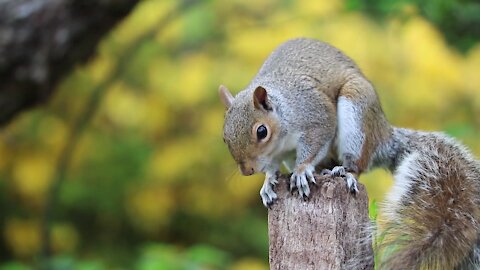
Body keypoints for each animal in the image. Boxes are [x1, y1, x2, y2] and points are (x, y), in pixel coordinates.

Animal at [219, 38, 480, 270]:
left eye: (261, 131)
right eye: (224, 137)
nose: (247, 171)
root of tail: (383, 136)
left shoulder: (316, 115)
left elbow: (316, 141)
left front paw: (301, 171)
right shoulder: (277, 155)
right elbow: (272, 168)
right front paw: (268, 182)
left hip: (356, 113)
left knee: (358, 164)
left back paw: (345, 172)